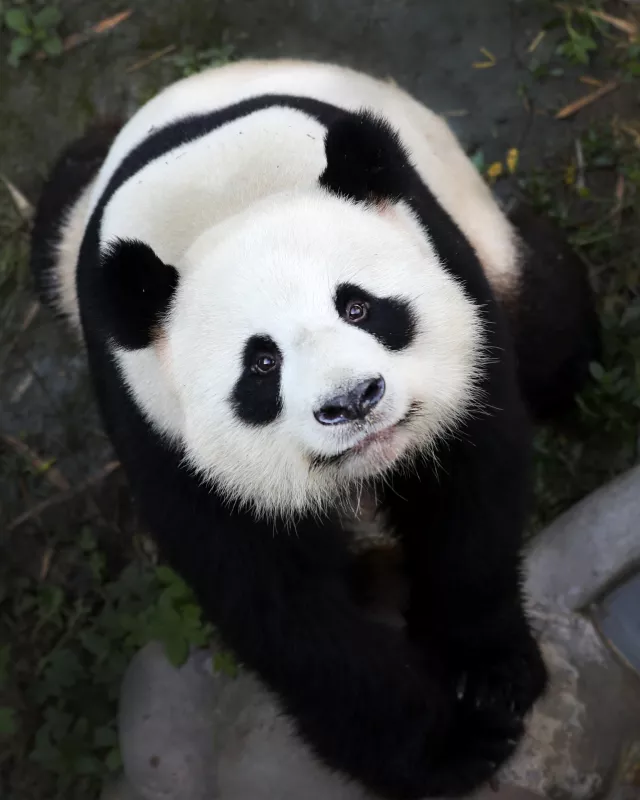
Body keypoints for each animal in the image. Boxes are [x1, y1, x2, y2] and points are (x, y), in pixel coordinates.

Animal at [30, 60, 597, 799]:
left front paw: (489, 680)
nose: (352, 401)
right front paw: (448, 749)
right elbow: (278, 604)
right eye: (261, 363)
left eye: (358, 307)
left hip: (486, 236)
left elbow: (469, 496)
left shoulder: (454, 282)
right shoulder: (156, 424)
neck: (226, 196)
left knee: (549, 328)